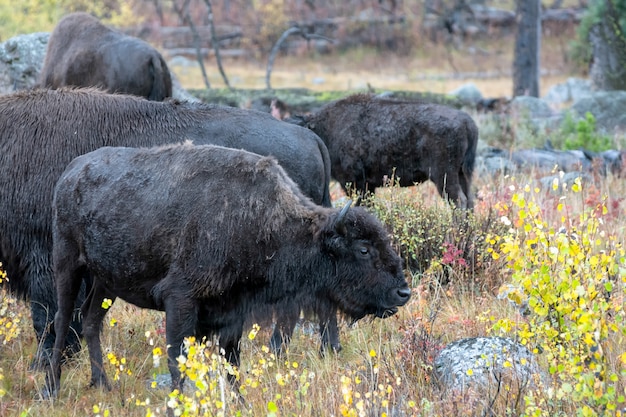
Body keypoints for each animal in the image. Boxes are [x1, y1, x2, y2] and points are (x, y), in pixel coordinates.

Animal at [44, 142, 410, 394]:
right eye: (363, 249)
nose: (403, 292)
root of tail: (71, 171)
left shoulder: (234, 311)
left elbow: (231, 362)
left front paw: (239, 401)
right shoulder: (180, 300)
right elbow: (178, 360)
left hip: (104, 282)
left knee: (90, 321)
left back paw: (102, 383)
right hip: (67, 263)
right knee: (62, 320)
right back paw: (52, 389)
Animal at [288, 93, 478, 210]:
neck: (326, 128)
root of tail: (468, 122)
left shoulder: (354, 181)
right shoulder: (368, 185)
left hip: (443, 174)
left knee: (459, 201)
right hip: (461, 174)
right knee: (469, 201)